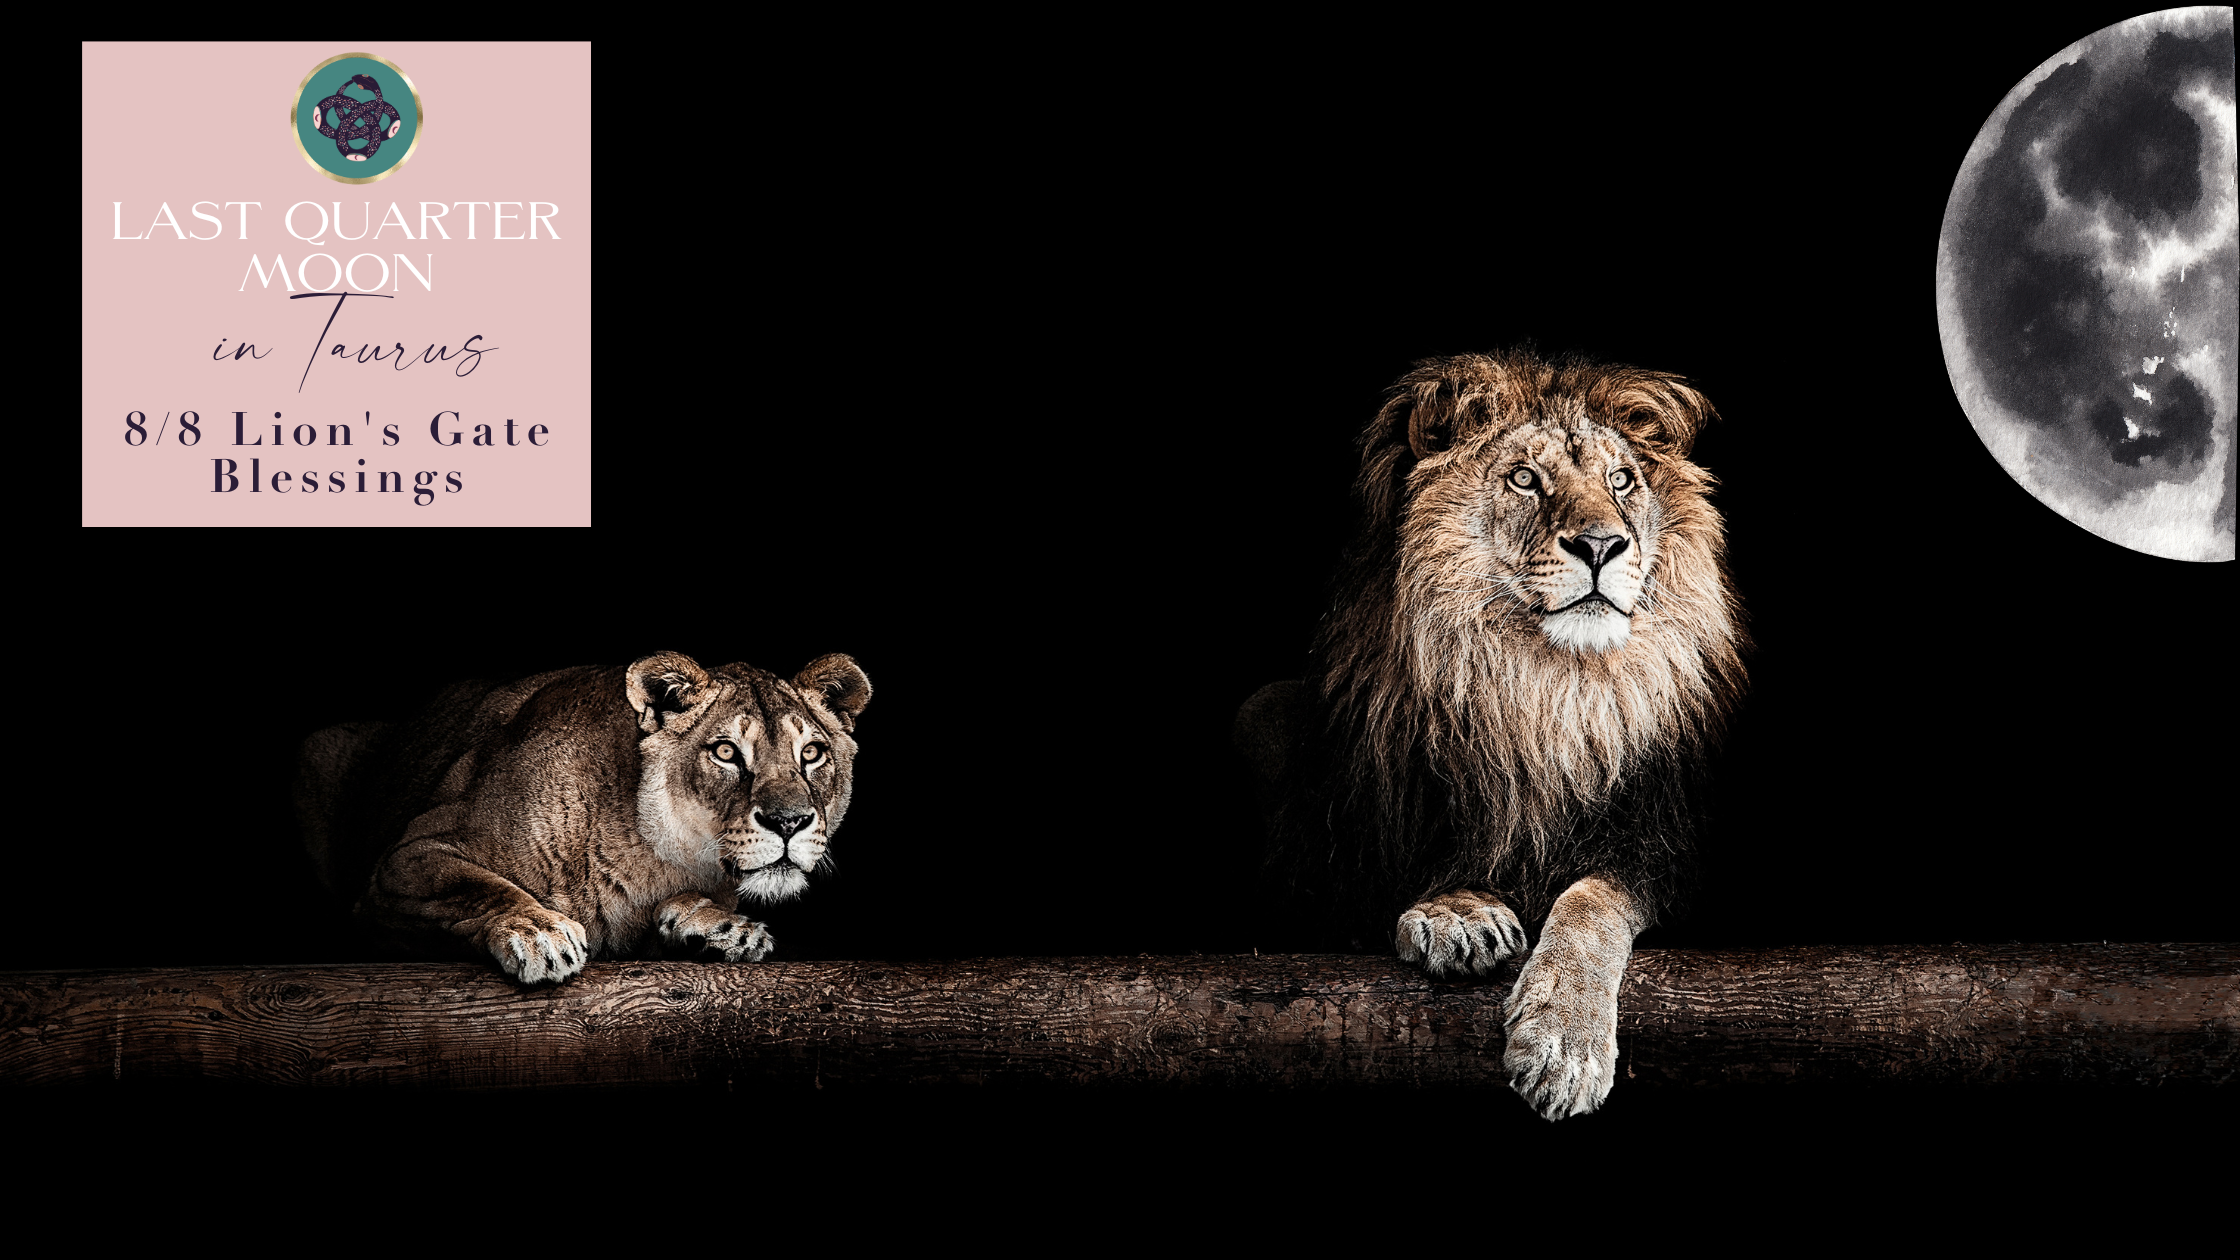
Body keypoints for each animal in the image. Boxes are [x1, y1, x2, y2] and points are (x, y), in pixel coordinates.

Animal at [295, 651, 871, 984]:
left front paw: (720, 928)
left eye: (813, 753)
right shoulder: (407, 860)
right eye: (726, 752)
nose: (789, 822)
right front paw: (539, 933)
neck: (651, 854)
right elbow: (480, 885)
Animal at [1238, 348, 1746, 1120]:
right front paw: (1459, 912)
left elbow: (1593, 901)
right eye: (1524, 479)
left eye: (1621, 480)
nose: (1602, 544)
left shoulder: (1660, 846)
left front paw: (1564, 1044)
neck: (1540, 693)